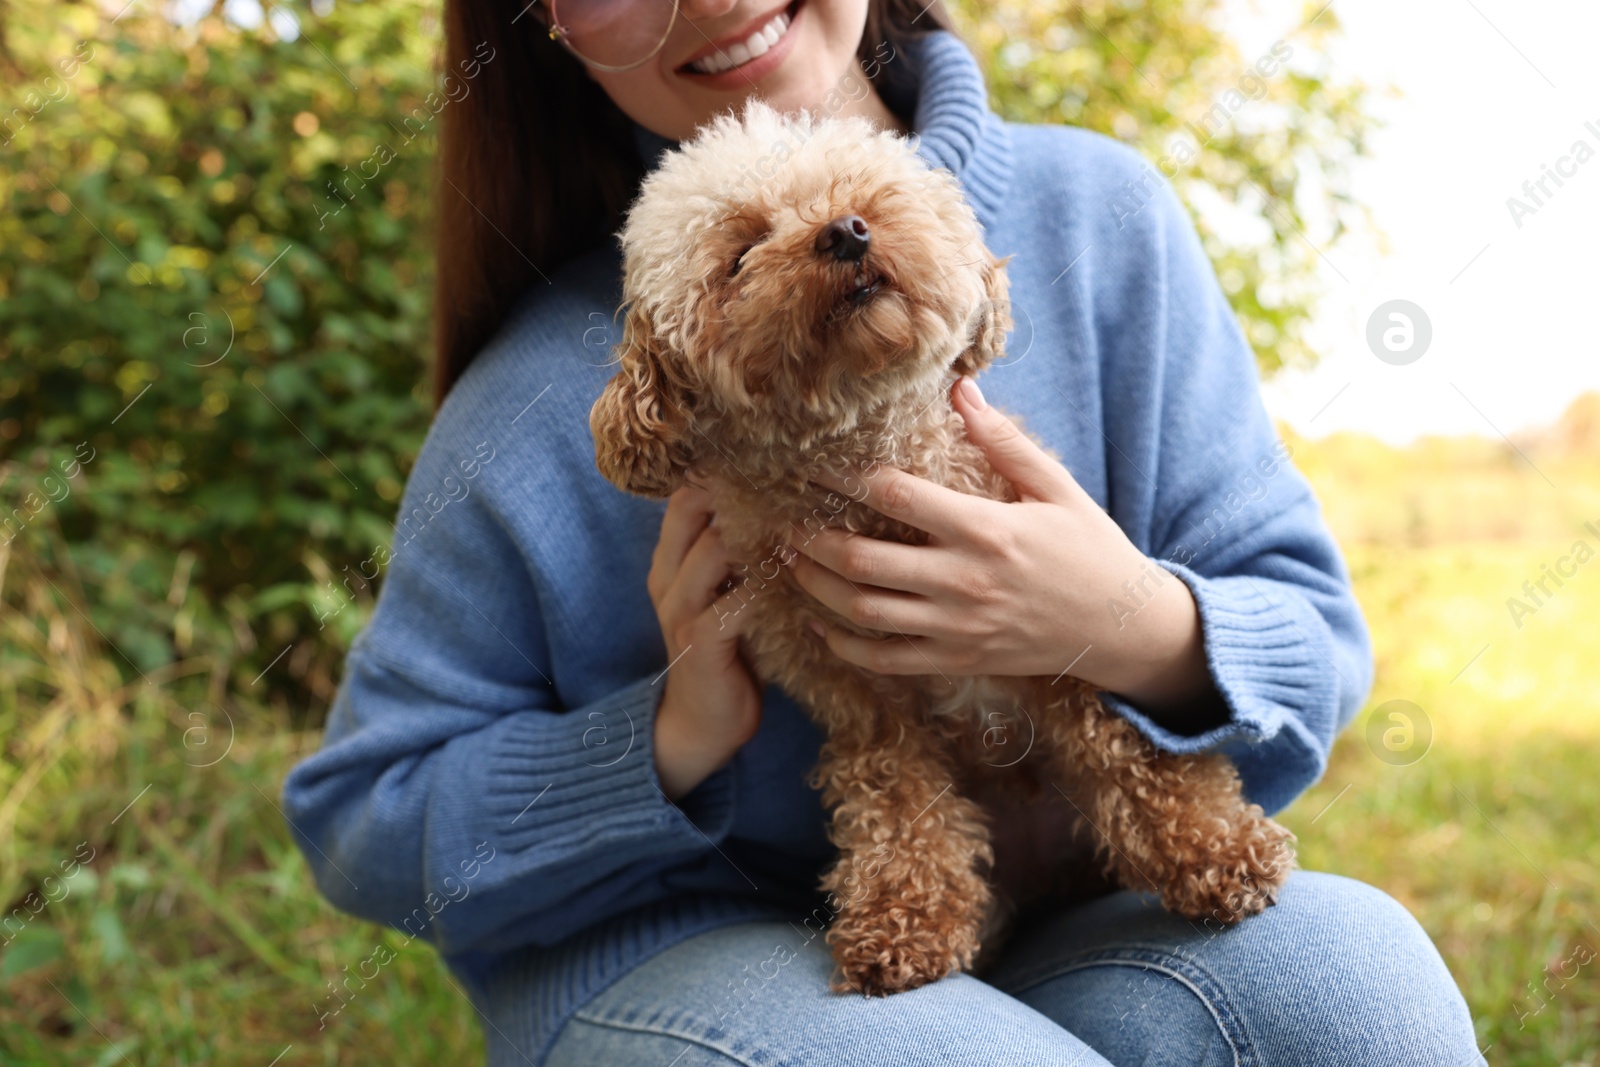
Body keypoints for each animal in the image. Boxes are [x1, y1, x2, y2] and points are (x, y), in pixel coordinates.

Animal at [595, 99, 1292, 1004]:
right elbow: (898, 802)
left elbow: (1133, 753)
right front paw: (904, 919)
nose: (846, 233)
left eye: (859, 192)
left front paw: (1216, 848)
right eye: (740, 253)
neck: (874, 469)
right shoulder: (857, 697)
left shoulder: (1061, 647)